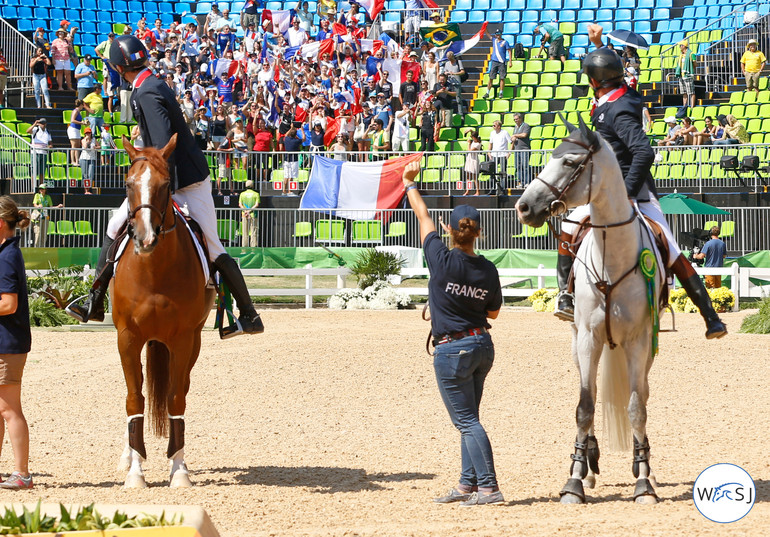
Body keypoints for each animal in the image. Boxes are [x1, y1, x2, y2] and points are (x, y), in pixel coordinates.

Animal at [112, 134, 213, 486]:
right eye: (128, 183)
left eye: (166, 184)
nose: (145, 238)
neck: (154, 270)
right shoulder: (127, 337)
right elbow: (134, 400)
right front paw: (135, 471)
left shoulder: (183, 339)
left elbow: (175, 399)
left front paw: (179, 469)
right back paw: (128, 455)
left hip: (192, 343)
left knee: (179, 389)